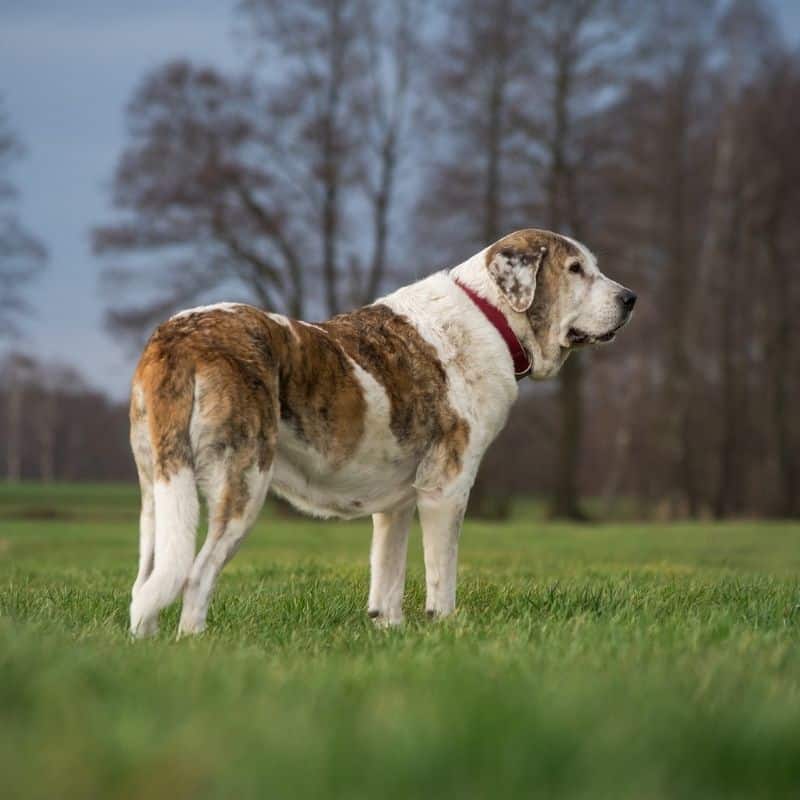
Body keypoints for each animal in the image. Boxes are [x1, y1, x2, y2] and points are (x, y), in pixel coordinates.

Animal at [128, 228, 636, 636]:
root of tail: (179, 335)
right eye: (576, 269)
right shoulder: (446, 489)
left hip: (157, 493)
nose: (630, 297)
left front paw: (389, 631)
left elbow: (387, 577)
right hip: (244, 483)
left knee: (145, 586)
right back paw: (194, 642)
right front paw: (444, 628)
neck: (490, 316)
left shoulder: (397, 506)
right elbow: (441, 574)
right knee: (195, 576)